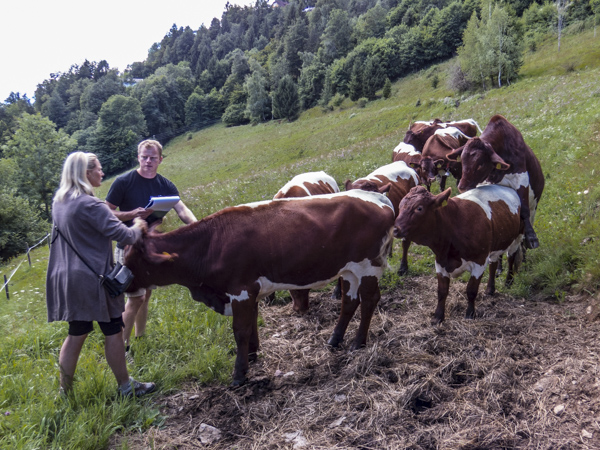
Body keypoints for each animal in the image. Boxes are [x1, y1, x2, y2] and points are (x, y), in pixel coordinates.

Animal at [126, 189, 396, 384]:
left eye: (131, 260)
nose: (119, 284)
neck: (210, 243)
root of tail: (377, 197)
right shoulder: (249, 293)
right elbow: (252, 324)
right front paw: (252, 355)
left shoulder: (240, 291)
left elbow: (240, 330)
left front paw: (239, 373)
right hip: (350, 270)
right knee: (349, 302)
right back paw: (335, 339)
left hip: (369, 266)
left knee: (369, 300)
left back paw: (358, 342)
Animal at [392, 185, 524, 326]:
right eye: (400, 206)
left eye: (419, 208)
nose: (395, 229)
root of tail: (505, 187)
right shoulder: (440, 262)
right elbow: (442, 292)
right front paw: (438, 317)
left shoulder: (479, 261)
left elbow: (471, 290)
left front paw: (470, 314)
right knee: (493, 264)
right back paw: (490, 289)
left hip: (517, 237)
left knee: (511, 258)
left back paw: (509, 281)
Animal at [448, 114, 548, 250]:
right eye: (462, 161)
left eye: (480, 164)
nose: (462, 186)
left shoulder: (521, 177)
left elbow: (524, 210)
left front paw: (531, 237)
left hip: (534, 203)